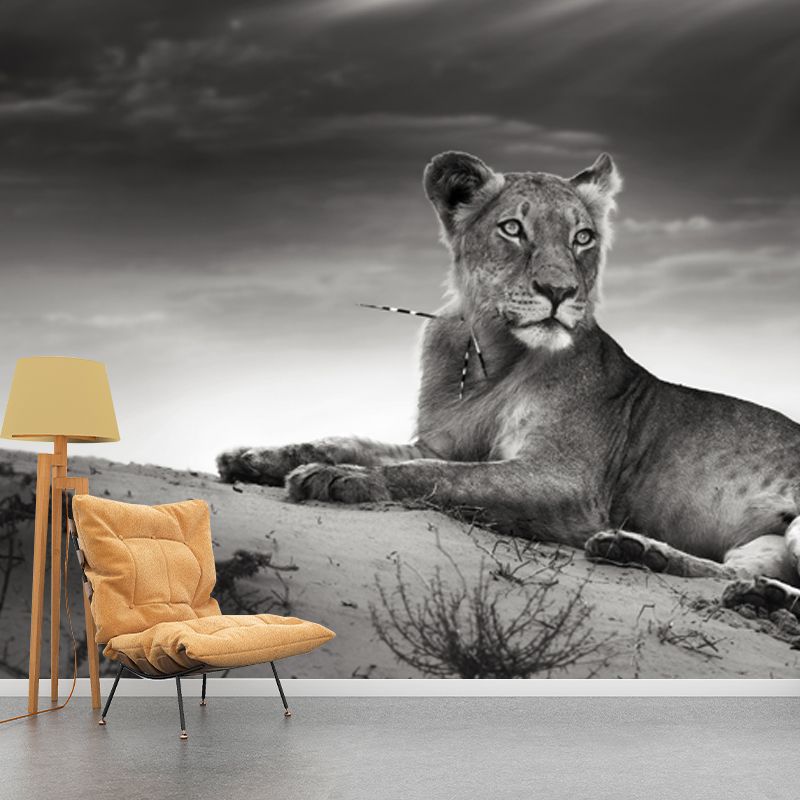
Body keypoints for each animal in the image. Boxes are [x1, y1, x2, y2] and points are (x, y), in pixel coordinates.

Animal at [218, 151, 800, 615]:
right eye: (513, 229)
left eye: (582, 237)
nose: (559, 292)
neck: (492, 356)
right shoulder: (440, 443)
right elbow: (348, 441)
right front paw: (255, 457)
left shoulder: (565, 480)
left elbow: (430, 476)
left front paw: (340, 480)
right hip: (761, 543)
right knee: (736, 569)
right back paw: (648, 554)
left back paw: (751, 594)